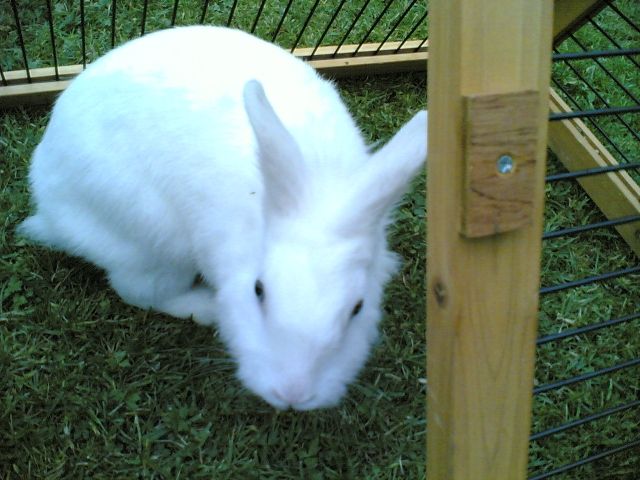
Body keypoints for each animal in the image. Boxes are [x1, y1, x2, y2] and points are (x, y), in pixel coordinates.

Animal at [19, 26, 427, 410]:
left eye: (358, 308)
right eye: (258, 290)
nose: (292, 394)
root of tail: (49, 209)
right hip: (154, 241)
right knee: (139, 291)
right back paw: (205, 308)